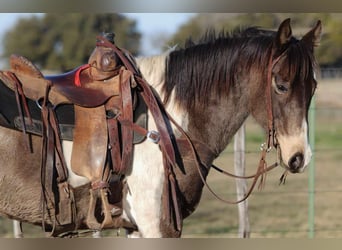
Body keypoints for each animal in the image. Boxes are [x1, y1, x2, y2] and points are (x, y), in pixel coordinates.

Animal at [0, 18, 320, 237]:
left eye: (313, 86)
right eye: (281, 85)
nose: (299, 158)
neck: (168, 121)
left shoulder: (138, 227)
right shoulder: (157, 225)